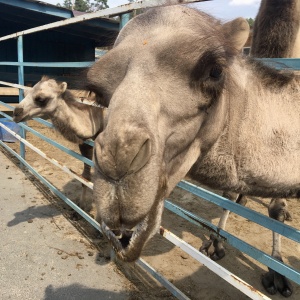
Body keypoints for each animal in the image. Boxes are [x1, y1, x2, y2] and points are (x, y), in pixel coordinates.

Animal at [12, 77, 105, 213]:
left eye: (41, 99)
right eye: (25, 93)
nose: (16, 113)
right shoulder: (86, 144)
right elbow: (85, 177)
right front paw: (82, 207)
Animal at [85, 5, 298, 296]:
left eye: (215, 71)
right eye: (96, 91)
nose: (116, 162)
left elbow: (274, 210)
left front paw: (278, 273)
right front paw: (215, 244)